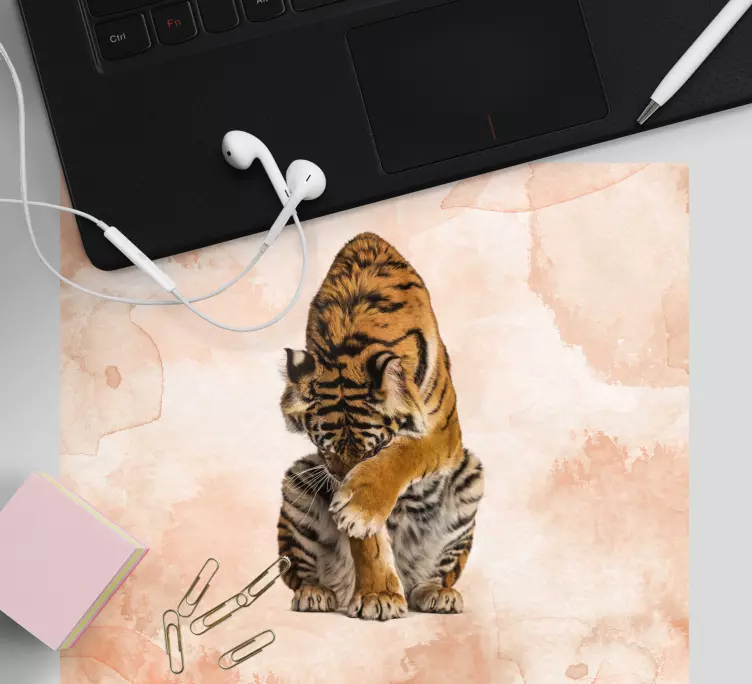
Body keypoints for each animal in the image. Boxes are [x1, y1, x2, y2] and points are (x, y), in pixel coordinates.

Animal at [277, 232, 484, 620]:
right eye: (324, 449)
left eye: (374, 450)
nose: (341, 484)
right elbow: (367, 543)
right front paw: (378, 595)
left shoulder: (442, 431)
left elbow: (407, 453)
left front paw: (359, 505)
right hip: (298, 484)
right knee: (300, 573)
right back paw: (315, 594)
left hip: (470, 478)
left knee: (435, 575)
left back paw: (438, 595)